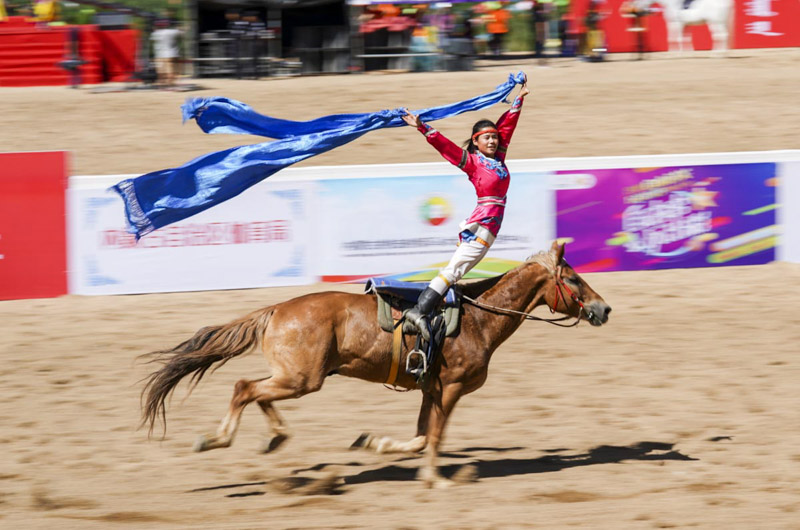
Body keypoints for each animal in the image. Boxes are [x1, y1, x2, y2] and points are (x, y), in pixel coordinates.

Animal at [141, 241, 608, 484]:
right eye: (573, 279)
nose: (603, 309)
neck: (477, 320)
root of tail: (275, 310)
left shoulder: (431, 388)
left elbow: (419, 436)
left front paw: (374, 443)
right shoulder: (452, 389)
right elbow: (433, 437)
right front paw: (433, 478)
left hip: (294, 376)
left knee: (256, 392)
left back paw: (274, 437)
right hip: (302, 378)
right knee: (244, 388)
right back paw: (218, 439)